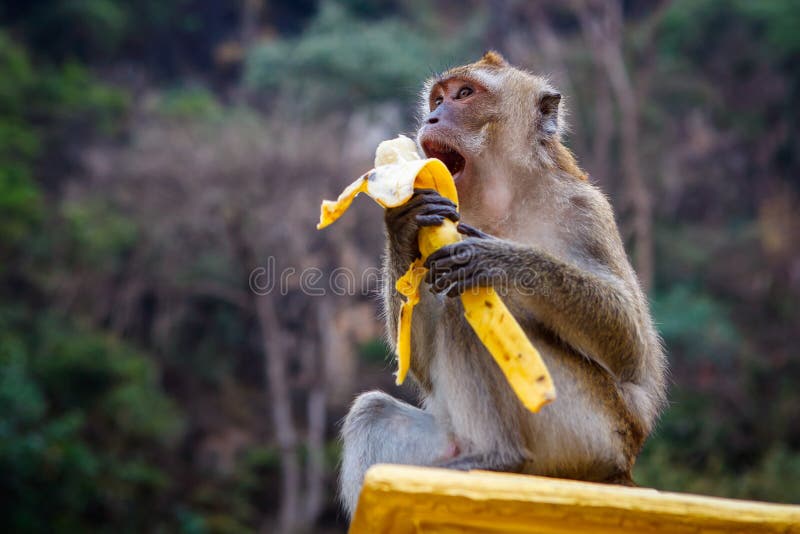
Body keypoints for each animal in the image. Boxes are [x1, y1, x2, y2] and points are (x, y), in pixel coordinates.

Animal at [338, 51, 668, 520]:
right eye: (438, 99)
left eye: (464, 94)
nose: (433, 117)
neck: (501, 197)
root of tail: (618, 471)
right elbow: (418, 362)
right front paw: (402, 220)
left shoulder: (585, 211)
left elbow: (633, 352)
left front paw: (498, 259)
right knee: (374, 409)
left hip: (586, 431)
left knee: (467, 311)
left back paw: (499, 456)